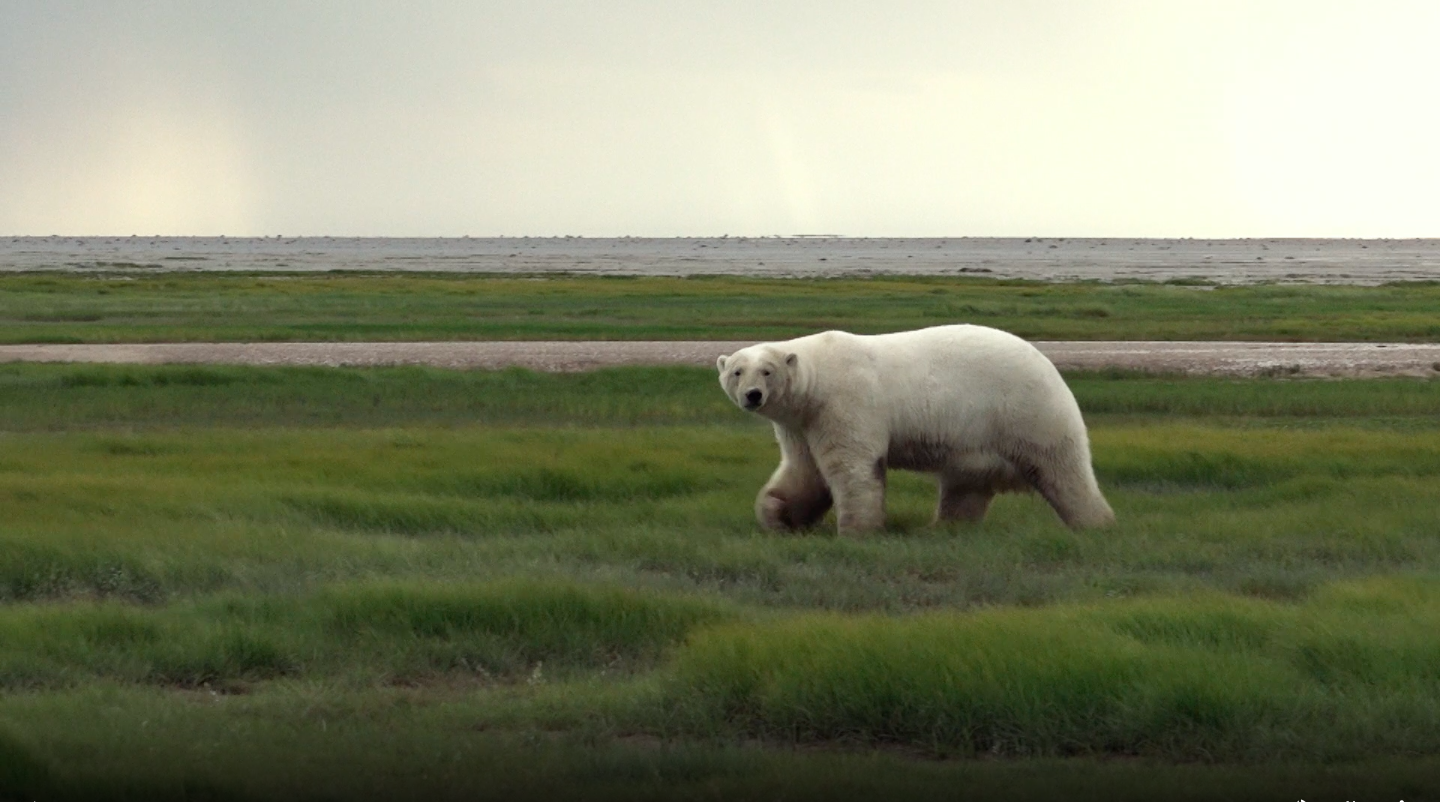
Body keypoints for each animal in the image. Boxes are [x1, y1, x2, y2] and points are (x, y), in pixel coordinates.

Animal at [716, 324, 1114, 535]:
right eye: (737, 371)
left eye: (766, 371)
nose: (753, 395)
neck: (819, 378)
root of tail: (1049, 366)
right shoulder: (801, 422)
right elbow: (803, 471)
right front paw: (778, 515)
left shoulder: (846, 402)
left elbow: (851, 467)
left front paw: (857, 531)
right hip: (977, 443)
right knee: (964, 488)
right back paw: (943, 528)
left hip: (1025, 413)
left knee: (1063, 472)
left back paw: (1096, 525)